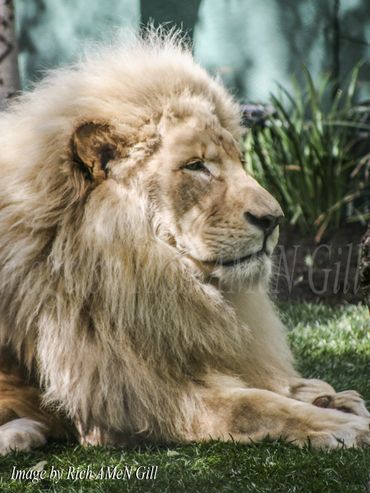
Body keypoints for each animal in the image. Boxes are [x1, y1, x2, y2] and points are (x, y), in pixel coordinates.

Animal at [0, 31, 368, 454]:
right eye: (196, 166)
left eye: (241, 162)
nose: (273, 219)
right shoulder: (126, 402)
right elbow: (252, 405)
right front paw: (340, 423)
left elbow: (269, 384)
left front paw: (328, 396)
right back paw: (23, 432)